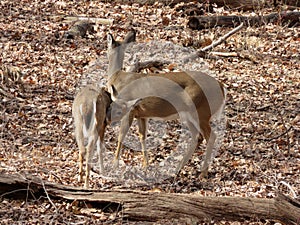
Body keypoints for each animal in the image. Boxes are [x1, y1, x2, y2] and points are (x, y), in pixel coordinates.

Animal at [106, 31, 226, 177]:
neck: (117, 78)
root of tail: (221, 87)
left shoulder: (128, 108)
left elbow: (121, 135)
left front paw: (114, 164)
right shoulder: (142, 114)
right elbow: (142, 136)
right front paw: (146, 165)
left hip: (201, 111)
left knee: (211, 136)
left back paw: (203, 172)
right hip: (189, 114)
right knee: (197, 137)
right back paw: (178, 169)